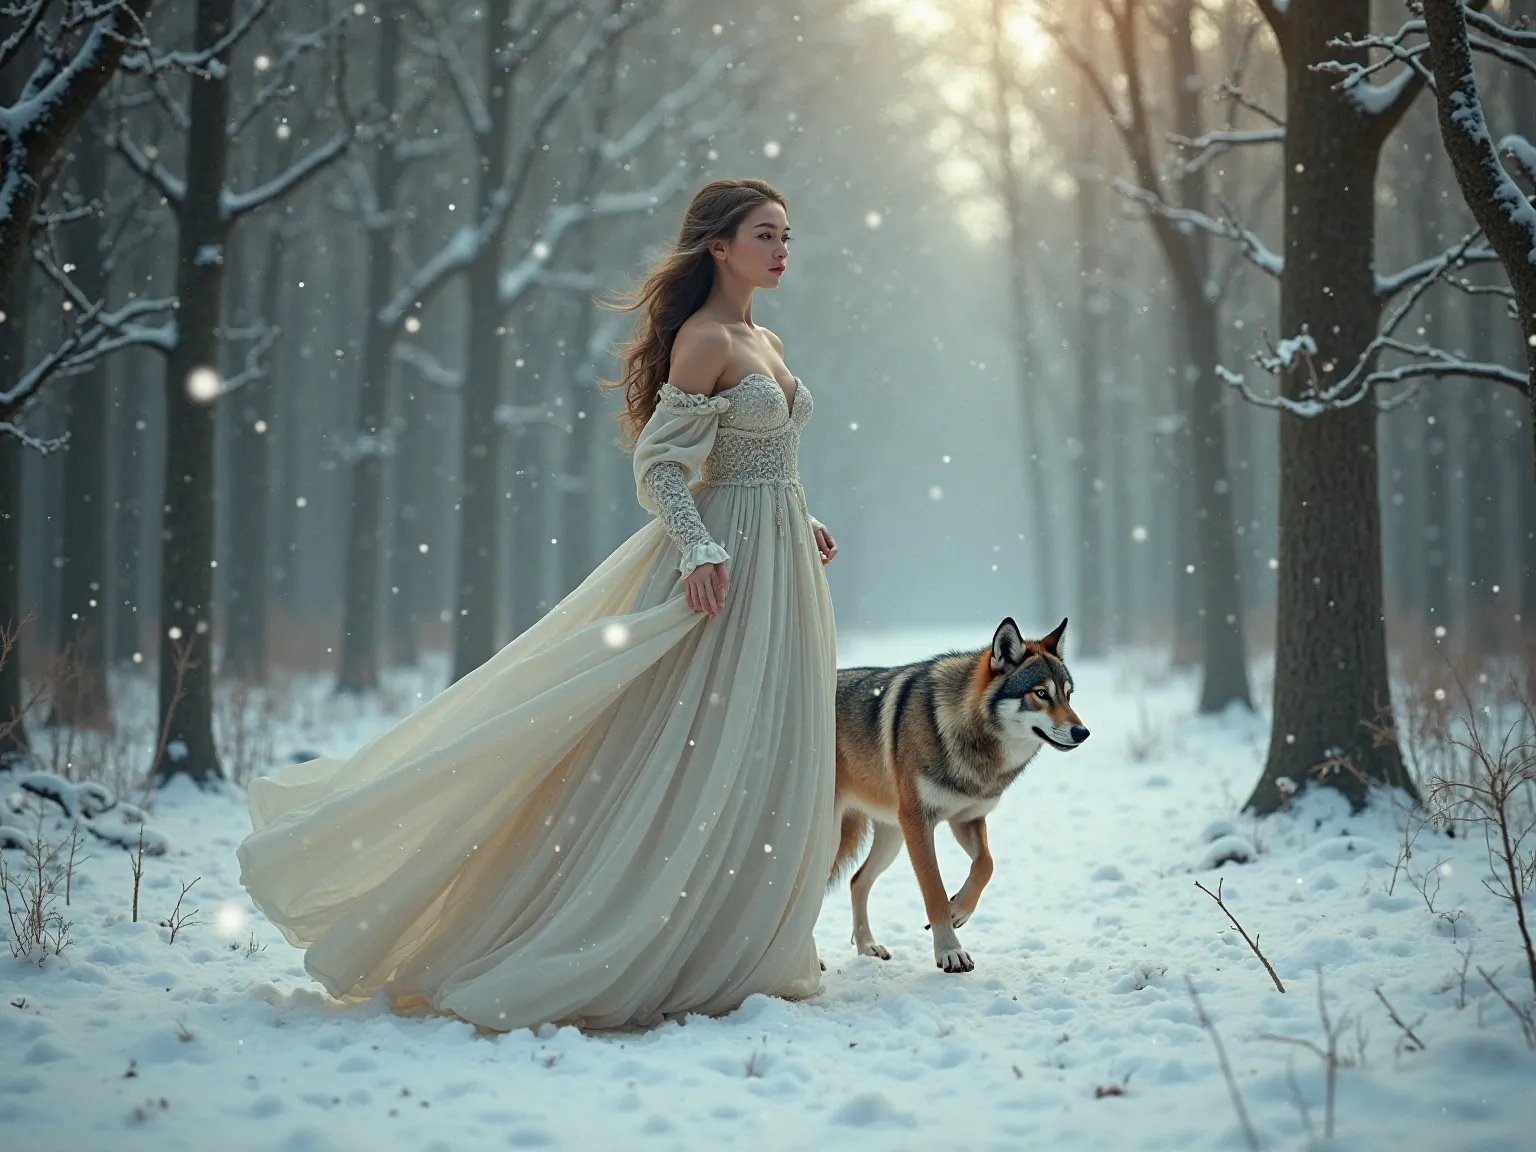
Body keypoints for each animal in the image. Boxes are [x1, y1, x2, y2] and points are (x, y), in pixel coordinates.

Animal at [829, 623, 1093, 976]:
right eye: (1040, 694)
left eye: (1068, 694)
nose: (1083, 732)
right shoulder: (919, 823)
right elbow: (934, 890)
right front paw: (950, 952)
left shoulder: (966, 819)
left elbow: (986, 865)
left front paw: (959, 911)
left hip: (891, 840)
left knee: (857, 881)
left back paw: (867, 948)